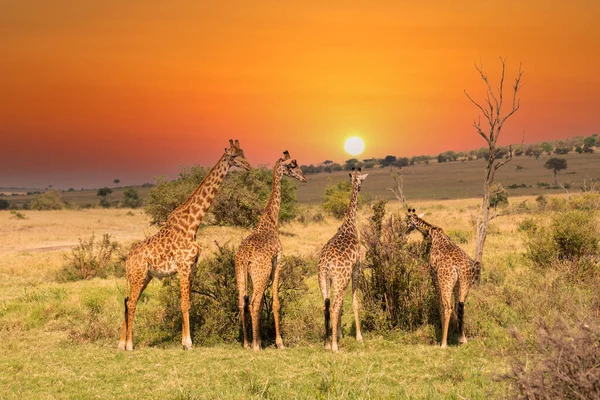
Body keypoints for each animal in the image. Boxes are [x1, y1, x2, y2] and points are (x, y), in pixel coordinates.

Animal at [117, 140, 251, 350]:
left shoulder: (192, 267)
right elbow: (184, 303)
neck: (193, 224)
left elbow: (188, 302)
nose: (248, 167)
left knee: (128, 300)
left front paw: (185, 340)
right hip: (138, 275)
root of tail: (127, 259)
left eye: (243, 153)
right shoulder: (183, 265)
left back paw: (121, 343)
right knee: (131, 304)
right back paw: (129, 344)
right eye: (234, 156)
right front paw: (187, 342)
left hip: (144, 277)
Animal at [236, 152, 308, 352]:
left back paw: (247, 343)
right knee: (254, 303)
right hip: (260, 274)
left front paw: (260, 340)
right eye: (292, 165)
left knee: (243, 302)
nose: (304, 177)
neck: (271, 221)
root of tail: (245, 258)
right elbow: (276, 302)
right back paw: (255, 346)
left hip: (241, 274)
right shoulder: (278, 264)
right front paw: (279, 342)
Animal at [316, 167, 368, 352]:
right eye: (361, 180)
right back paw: (334, 347)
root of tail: (326, 265)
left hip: (324, 280)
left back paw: (326, 344)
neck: (349, 225)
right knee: (334, 306)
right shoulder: (357, 268)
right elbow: (354, 301)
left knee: (326, 306)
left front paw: (338, 334)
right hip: (340, 278)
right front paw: (359, 337)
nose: (360, 187)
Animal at [404, 209, 482, 346]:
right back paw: (462, 338)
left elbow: (440, 304)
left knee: (447, 307)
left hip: (445, 281)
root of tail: (458, 267)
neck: (432, 232)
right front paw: (457, 334)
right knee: (461, 305)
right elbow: (457, 307)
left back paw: (443, 343)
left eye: (407, 220)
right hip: (464, 284)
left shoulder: (434, 275)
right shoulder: (456, 285)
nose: (405, 231)